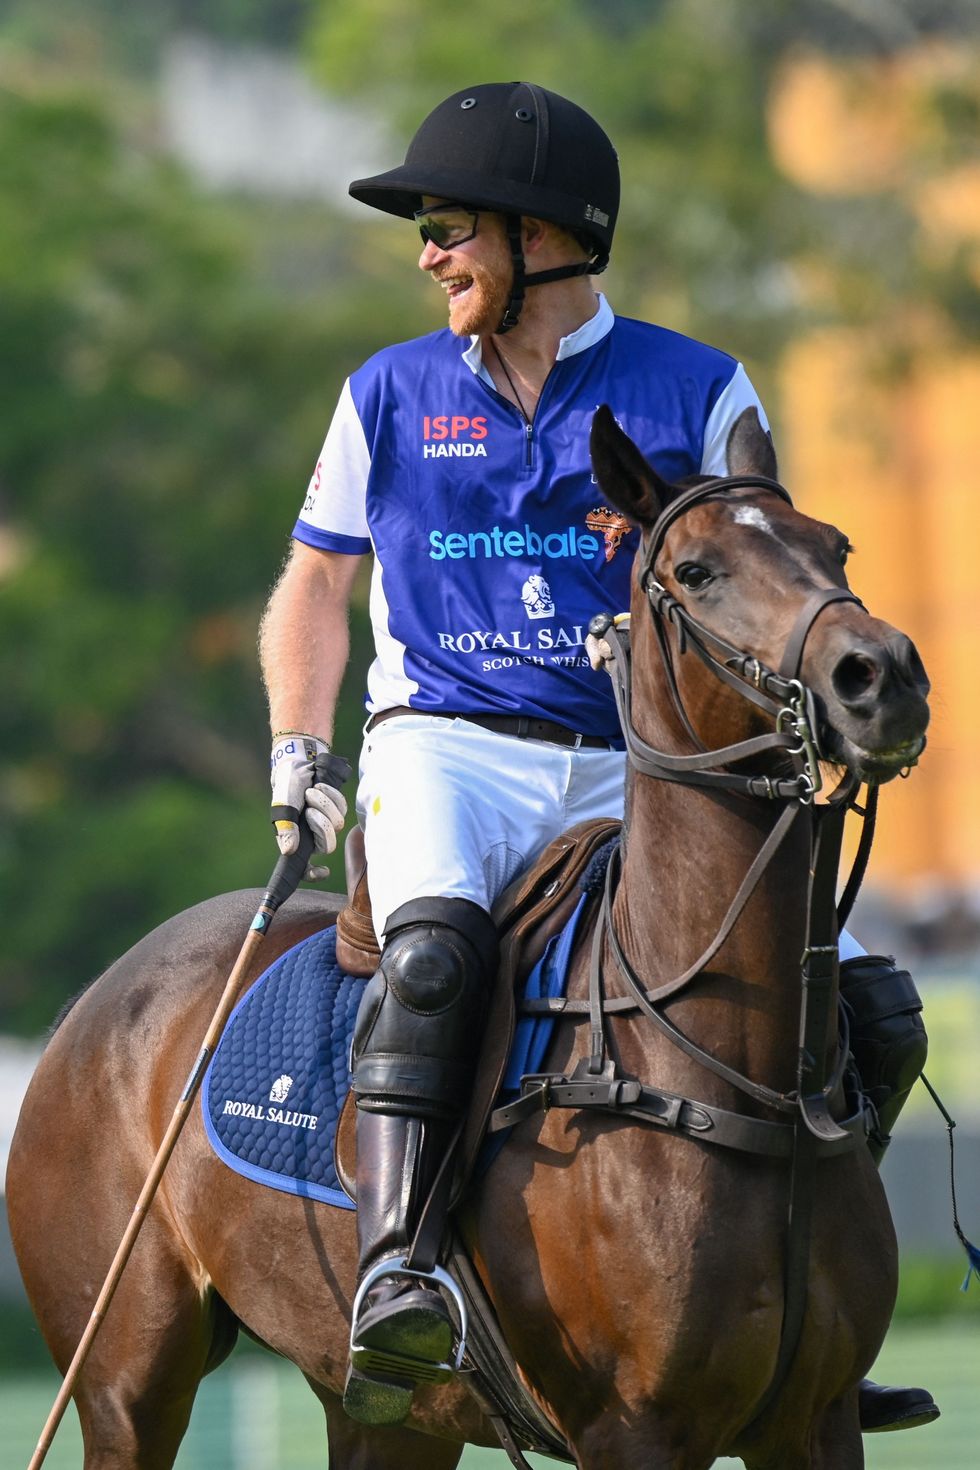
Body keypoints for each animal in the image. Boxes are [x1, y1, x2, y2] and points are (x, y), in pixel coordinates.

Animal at [7, 405, 928, 1470]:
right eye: (696, 570)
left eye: (836, 546)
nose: (881, 677)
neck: (731, 1077)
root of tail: (89, 1006)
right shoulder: (636, 1428)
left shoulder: (815, 1417)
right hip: (125, 1378)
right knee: (429, 968)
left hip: (384, 1412)